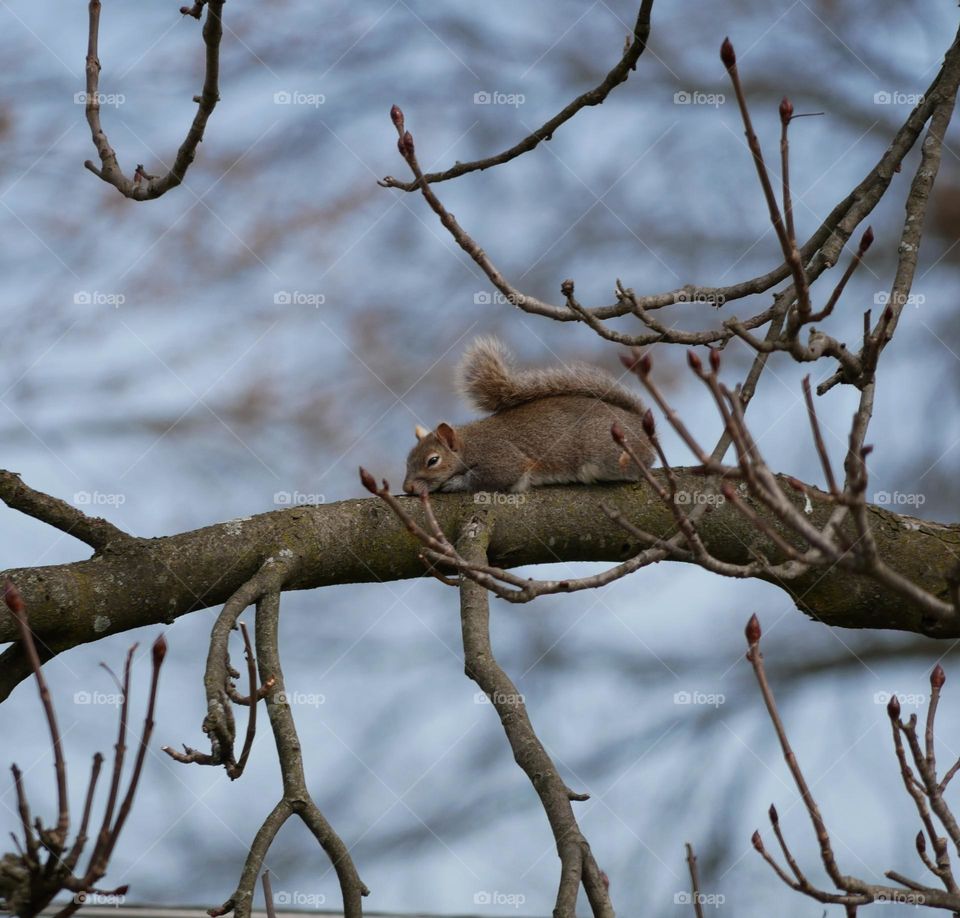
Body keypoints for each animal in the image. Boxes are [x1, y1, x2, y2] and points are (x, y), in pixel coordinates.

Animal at [402, 337, 654, 494]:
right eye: (408, 459)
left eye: (433, 461)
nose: (407, 488)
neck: (470, 444)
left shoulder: (500, 457)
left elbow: (493, 476)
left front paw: (456, 483)